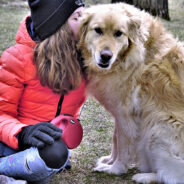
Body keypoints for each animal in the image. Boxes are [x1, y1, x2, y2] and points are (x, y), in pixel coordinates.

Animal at [78, 2, 184, 184]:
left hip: (158, 125)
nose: (106, 56)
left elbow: (122, 144)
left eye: (119, 33)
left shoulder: (126, 114)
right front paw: (110, 160)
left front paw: (114, 169)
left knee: (172, 175)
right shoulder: (119, 113)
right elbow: (115, 139)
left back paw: (144, 176)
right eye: (97, 30)